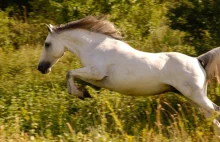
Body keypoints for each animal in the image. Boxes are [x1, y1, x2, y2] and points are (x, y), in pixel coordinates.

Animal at [38, 15, 220, 131]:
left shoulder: (96, 73)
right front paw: (84, 92)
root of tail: (198, 60)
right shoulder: (96, 78)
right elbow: (74, 76)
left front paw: (81, 93)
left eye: (47, 44)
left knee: (215, 110)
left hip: (195, 96)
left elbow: (70, 73)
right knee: (211, 116)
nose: (41, 68)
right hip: (192, 97)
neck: (95, 47)